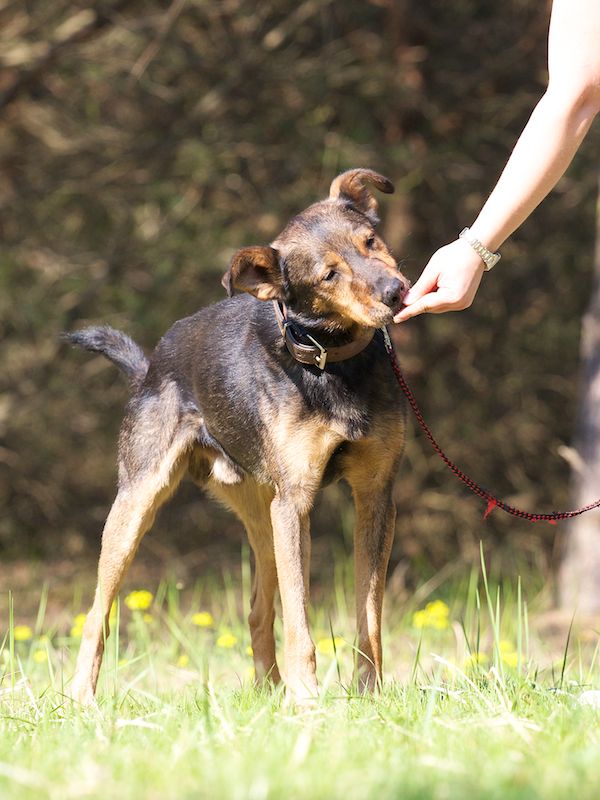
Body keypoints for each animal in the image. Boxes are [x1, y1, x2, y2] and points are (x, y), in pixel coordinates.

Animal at [66, 169, 409, 705]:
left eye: (370, 242)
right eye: (328, 276)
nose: (395, 291)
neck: (331, 364)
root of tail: (149, 369)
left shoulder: (375, 495)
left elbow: (368, 616)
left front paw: (369, 693)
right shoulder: (296, 502)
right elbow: (300, 623)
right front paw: (309, 700)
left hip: (263, 519)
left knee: (257, 612)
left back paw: (268, 692)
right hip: (136, 506)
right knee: (97, 612)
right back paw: (82, 695)